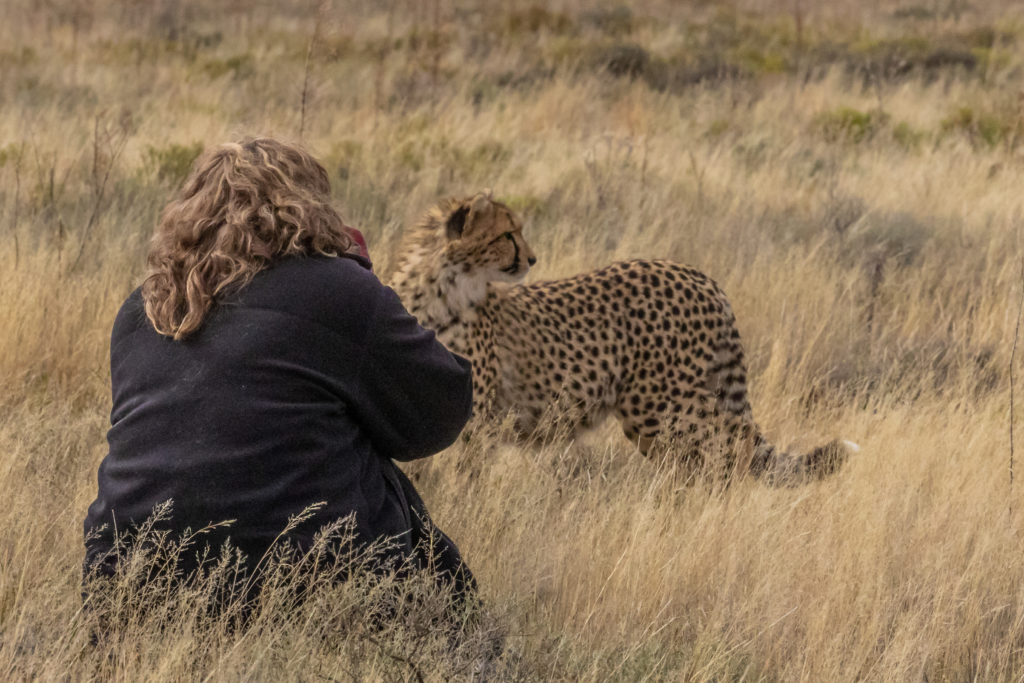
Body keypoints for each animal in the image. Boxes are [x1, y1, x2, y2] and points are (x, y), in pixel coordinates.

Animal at [391, 191, 856, 481]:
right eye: (507, 234)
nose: (533, 258)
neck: (441, 288)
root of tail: (699, 275)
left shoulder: (474, 421)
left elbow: (460, 478)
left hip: (663, 409)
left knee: (723, 460)